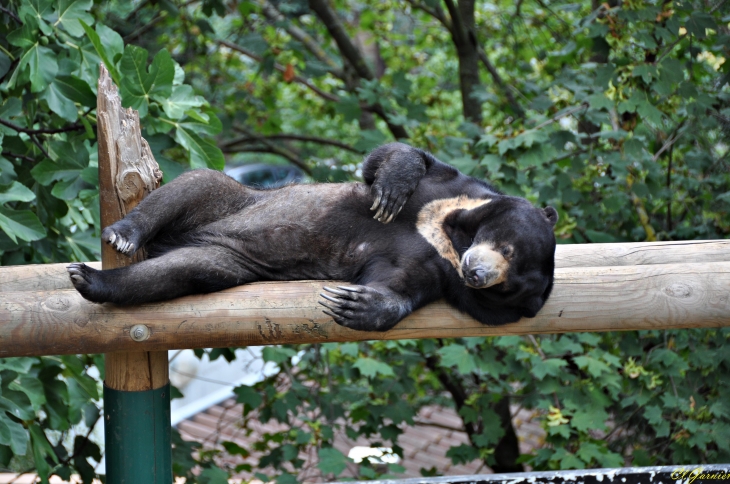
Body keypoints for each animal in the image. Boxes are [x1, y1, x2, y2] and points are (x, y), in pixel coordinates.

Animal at [69, 142, 556, 330]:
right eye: (508, 247)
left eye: (509, 285)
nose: (476, 273)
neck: (449, 239)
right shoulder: (450, 188)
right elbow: (393, 159)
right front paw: (391, 191)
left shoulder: (435, 270)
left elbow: (400, 282)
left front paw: (355, 304)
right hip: (235, 200)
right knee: (196, 183)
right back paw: (123, 236)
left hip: (227, 259)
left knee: (182, 272)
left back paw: (93, 280)